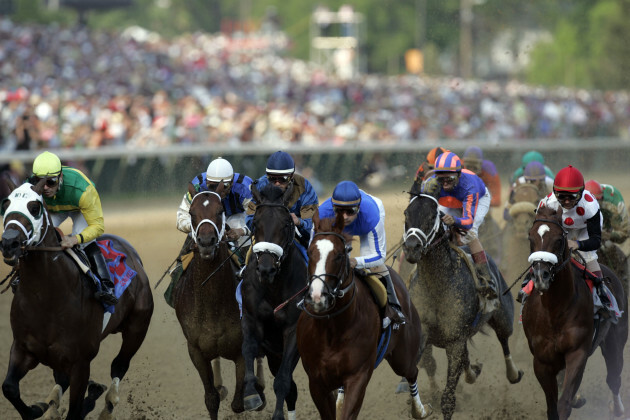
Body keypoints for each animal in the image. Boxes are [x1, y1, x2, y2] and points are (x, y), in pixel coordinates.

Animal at [0, 180, 154, 420]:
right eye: (5, 204)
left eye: (34, 207)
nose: (9, 243)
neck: (46, 297)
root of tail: (132, 253)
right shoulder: (23, 348)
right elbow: (9, 388)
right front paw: (37, 408)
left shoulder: (80, 363)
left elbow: (74, 410)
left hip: (137, 328)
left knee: (119, 365)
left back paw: (106, 406)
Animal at [173, 185, 249, 420]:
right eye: (191, 213)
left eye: (220, 211)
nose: (206, 242)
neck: (213, 302)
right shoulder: (196, 350)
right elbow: (211, 399)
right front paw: (217, 391)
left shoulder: (242, 348)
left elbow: (239, 403)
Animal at [241, 183, 308, 420]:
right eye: (255, 223)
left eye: (286, 224)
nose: (266, 269)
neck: (273, 288)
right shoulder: (252, 320)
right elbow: (248, 350)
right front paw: (251, 395)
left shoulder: (293, 330)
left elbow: (283, 380)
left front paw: (278, 415)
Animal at [298, 213, 432, 420]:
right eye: (310, 251)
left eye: (340, 254)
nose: (317, 296)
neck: (332, 330)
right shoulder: (317, 382)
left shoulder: (358, 377)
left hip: (403, 356)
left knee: (412, 372)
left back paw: (420, 410)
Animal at [524, 203, 630, 416]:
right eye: (530, 238)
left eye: (558, 239)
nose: (540, 276)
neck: (554, 310)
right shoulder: (541, 362)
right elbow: (552, 407)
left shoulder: (577, 352)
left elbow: (564, 403)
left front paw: (572, 401)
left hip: (615, 340)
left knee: (614, 378)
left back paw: (617, 409)